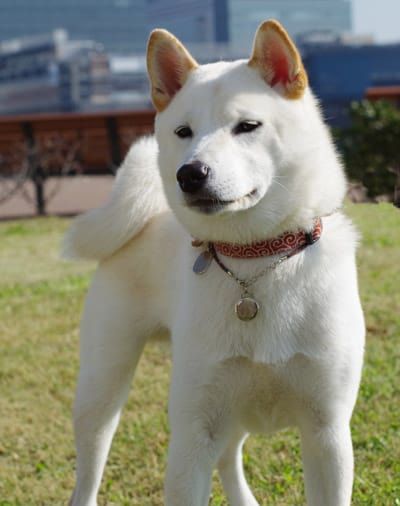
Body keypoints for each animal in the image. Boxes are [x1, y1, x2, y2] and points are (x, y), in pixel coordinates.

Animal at [65, 19, 366, 506]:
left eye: (247, 126)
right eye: (183, 132)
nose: (189, 174)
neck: (257, 256)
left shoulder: (327, 432)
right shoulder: (193, 433)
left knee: (229, 454)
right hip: (103, 386)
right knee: (90, 466)